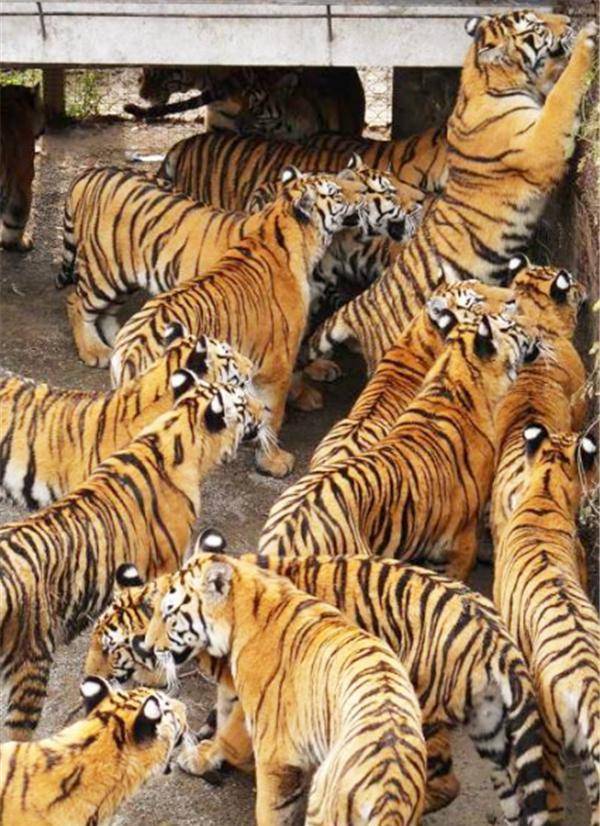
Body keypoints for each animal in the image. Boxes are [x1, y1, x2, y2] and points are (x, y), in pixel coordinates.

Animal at [110, 172, 357, 478]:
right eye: (336, 192)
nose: (359, 193)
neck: (278, 222)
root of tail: (132, 348)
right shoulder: (277, 365)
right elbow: (272, 416)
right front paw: (273, 462)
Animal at [306, 12, 594, 376]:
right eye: (535, 25)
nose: (568, 19)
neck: (486, 79)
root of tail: (360, 304)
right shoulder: (539, 143)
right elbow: (561, 96)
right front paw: (586, 41)